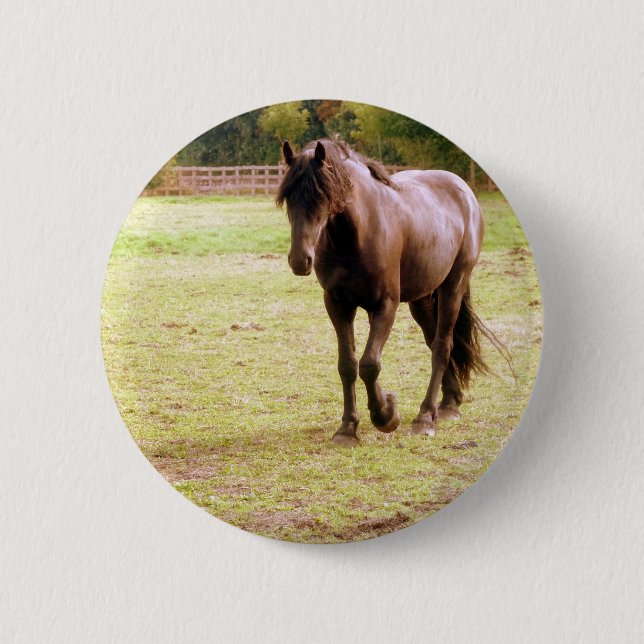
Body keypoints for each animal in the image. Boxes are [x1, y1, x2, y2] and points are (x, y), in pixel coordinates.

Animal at [277, 137, 492, 446]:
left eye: (321, 196)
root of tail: (463, 190)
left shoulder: (385, 305)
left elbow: (369, 364)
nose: (299, 259)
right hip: (421, 300)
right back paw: (449, 403)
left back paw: (425, 417)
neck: (356, 235)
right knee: (434, 342)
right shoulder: (338, 305)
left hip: (454, 285)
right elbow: (348, 365)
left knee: (442, 346)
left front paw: (386, 415)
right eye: (288, 198)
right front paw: (349, 428)